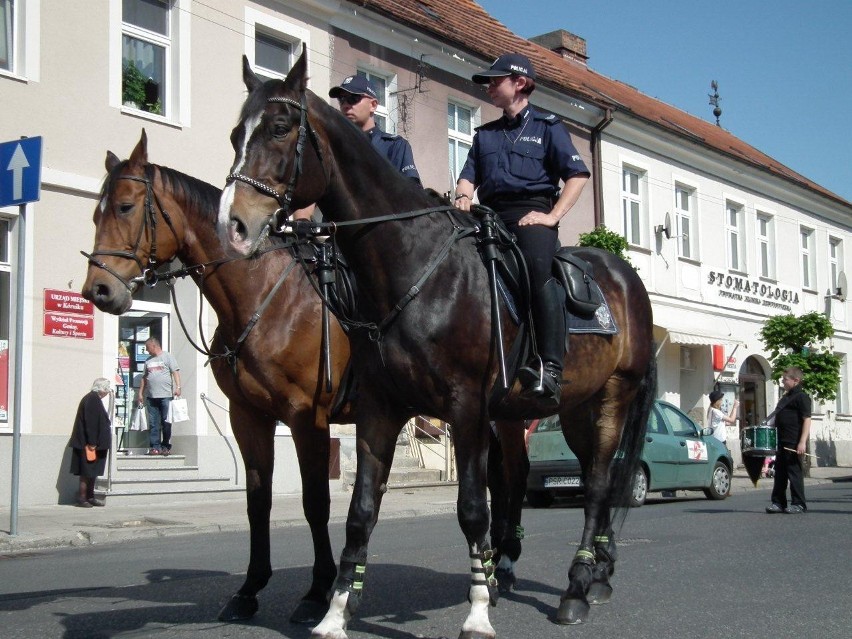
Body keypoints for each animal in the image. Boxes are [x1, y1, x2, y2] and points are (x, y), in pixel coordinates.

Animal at [78, 131, 352, 624]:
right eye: (96, 213)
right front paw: (250, 588)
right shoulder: (249, 417)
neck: (267, 297)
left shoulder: (309, 418)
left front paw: (318, 591)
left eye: (125, 207)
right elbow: (257, 501)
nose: (99, 291)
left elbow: (315, 502)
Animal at [218, 51, 652, 639]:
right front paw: (335, 611)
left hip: (612, 398)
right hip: (569, 408)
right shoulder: (381, 409)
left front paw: (477, 612)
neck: (412, 265)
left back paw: (576, 588)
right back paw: (582, 575)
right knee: (575, 479)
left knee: (601, 485)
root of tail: (624, 275)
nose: (234, 225)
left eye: (282, 128)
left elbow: (471, 508)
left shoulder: (464, 409)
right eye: (236, 133)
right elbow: (360, 511)